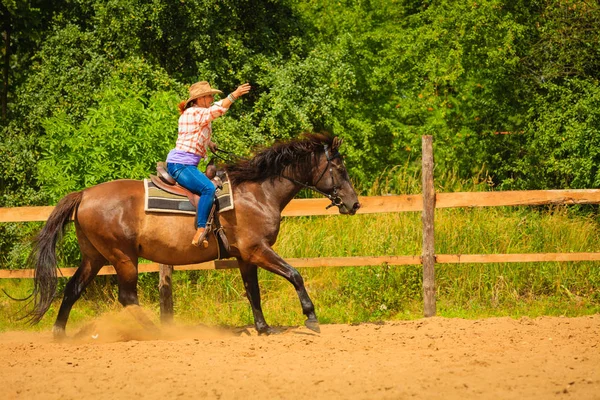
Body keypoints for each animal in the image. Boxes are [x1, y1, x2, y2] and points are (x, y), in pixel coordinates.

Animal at [29, 133, 360, 336]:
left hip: (95, 257)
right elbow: (294, 275)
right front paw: (311, 317)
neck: (258, 193)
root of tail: (84, 194)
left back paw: (59, 334)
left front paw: (263, 328)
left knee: (73, 289)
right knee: (127, 297)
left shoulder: (245, 257)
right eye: (340, 168)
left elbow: (252, 291)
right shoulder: (257, 250)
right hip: (123, 257)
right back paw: (157, 332)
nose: (354, 203)